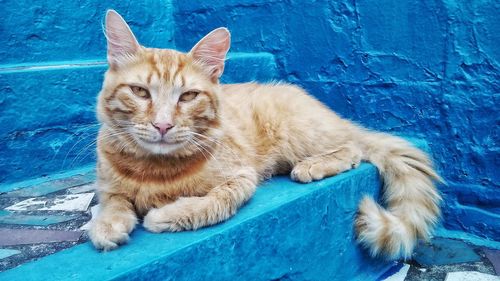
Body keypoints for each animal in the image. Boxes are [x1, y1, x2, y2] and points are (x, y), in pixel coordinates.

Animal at [89, 10, 442, 258]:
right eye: (139, 92)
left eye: (188, 96)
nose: (163, 125)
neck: (154, 169)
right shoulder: (108, 188)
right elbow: (113, 203)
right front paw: (106, 225)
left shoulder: (241, 177)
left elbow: (212, 202)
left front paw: (166, 214)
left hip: (300, 132)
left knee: (352, 147)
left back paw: (313, 165)